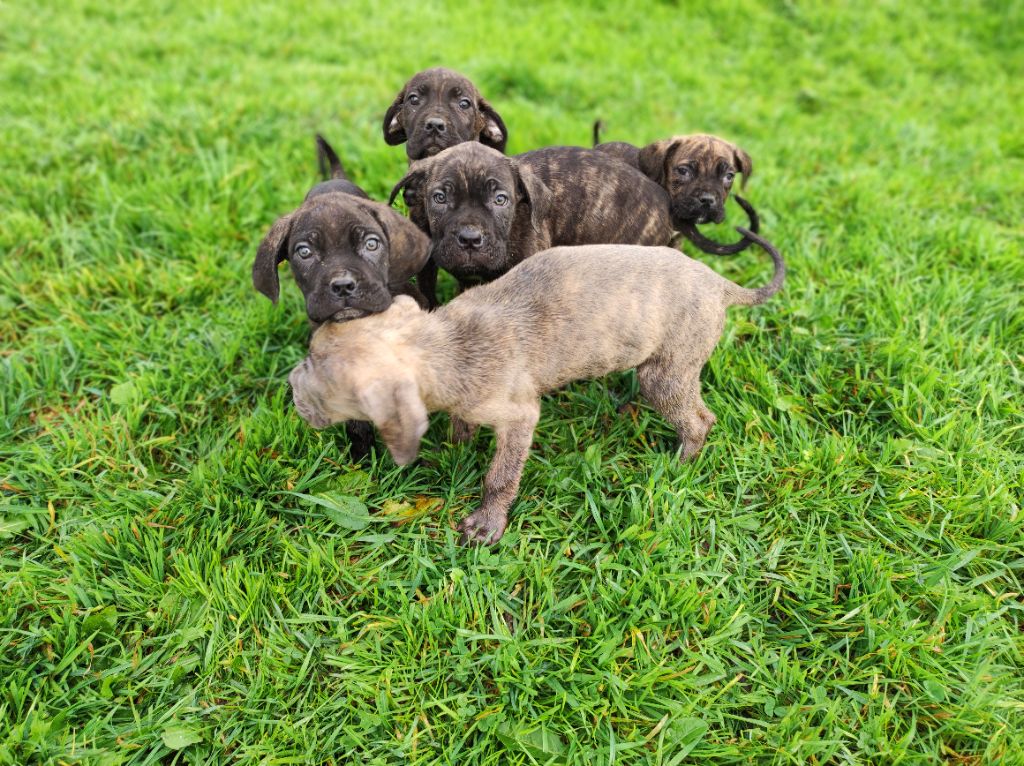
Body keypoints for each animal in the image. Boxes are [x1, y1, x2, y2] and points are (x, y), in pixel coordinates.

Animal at [288, 227, 782, 544]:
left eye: (321, 373)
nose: (291, 385)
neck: (447, 343)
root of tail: (721, 285)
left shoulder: (520, 416)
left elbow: (500, 477)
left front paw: (487, 523)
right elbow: (463, 427)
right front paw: (458, 449)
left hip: (666, 374)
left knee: (700, 419)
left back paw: (678, 465)